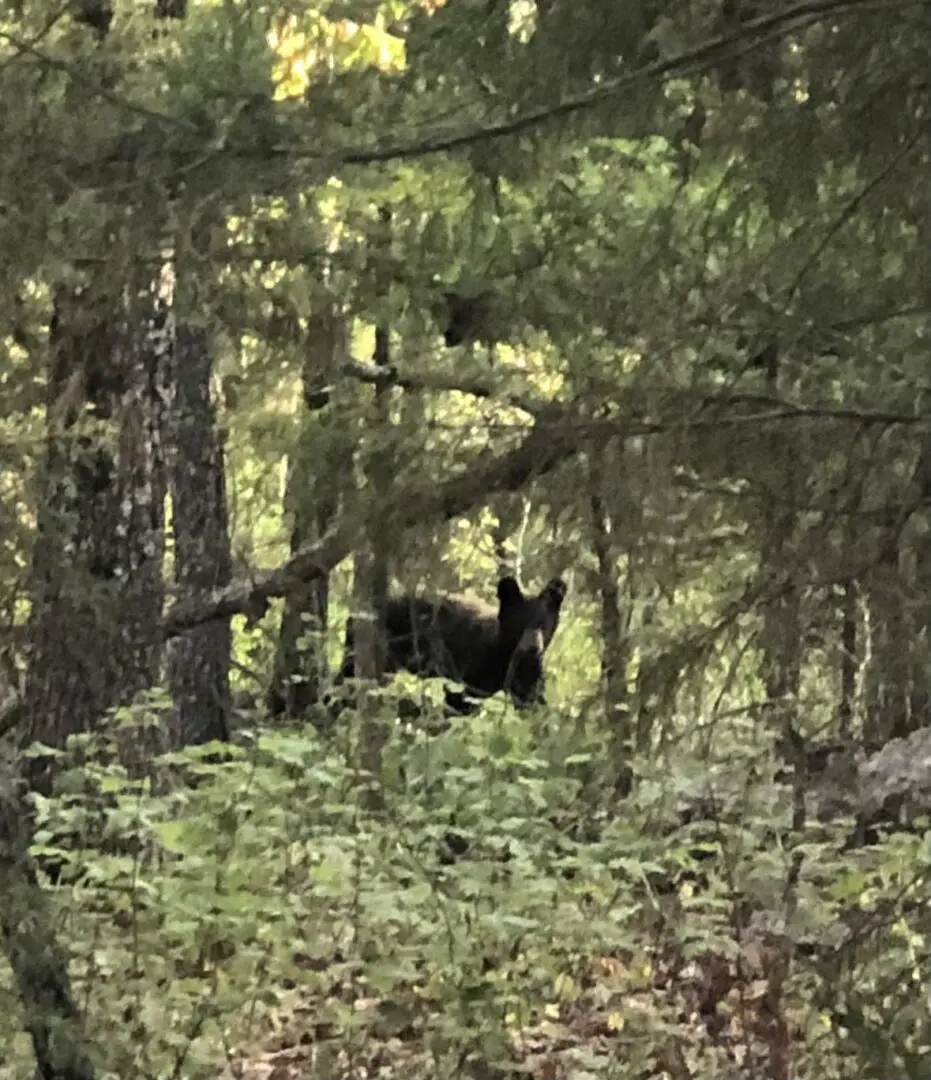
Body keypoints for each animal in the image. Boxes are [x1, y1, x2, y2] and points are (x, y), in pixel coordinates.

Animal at [336, 578, 565, 712]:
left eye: (544, 624)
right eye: (520, 622)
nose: (532, 648)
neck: (504, 655)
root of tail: (353, 614)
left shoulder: (526, 674)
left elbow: (533, 700)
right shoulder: (470, 667)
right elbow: (458, 701)